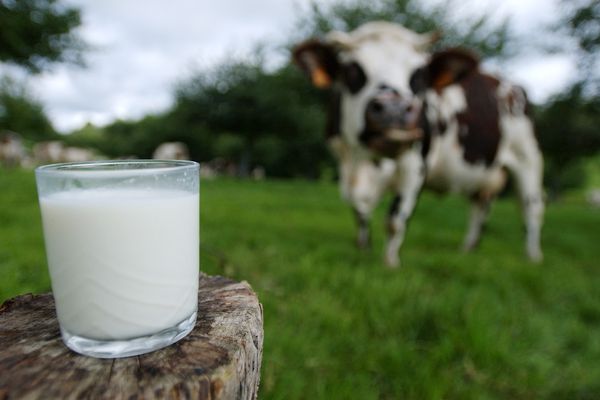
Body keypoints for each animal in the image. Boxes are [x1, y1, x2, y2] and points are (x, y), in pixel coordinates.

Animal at [292, 21, 548, 266]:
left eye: (419, 75)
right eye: (352, 69)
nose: (394, 109)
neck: (364, 162)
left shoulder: (416, 163)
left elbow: (395, 219)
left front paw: (390, 263)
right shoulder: (343, 162)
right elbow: (359, 213)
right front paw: (364, 249)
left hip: (528, 158)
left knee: (532, 207)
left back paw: (533, 257)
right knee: (480, 207)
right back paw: (467, 250)